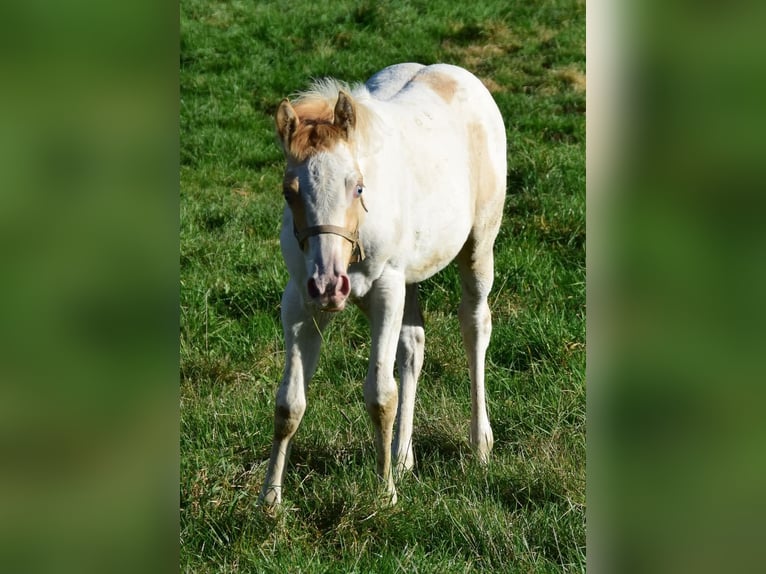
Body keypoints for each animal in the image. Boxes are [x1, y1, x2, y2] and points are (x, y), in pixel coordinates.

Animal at [260, 60, 508, 506]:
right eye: (289, 193)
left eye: (357, 186)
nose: (329, 285)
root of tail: (457, 73)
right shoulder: (299, 299)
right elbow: (288, 403)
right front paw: (269, 501)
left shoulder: (385, 291)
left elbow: (380, 395)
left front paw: (385, 495)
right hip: (408, 278)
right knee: (413, 346)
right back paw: (404, 455)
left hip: (480, 245)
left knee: (475, 325)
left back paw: (480, 443)